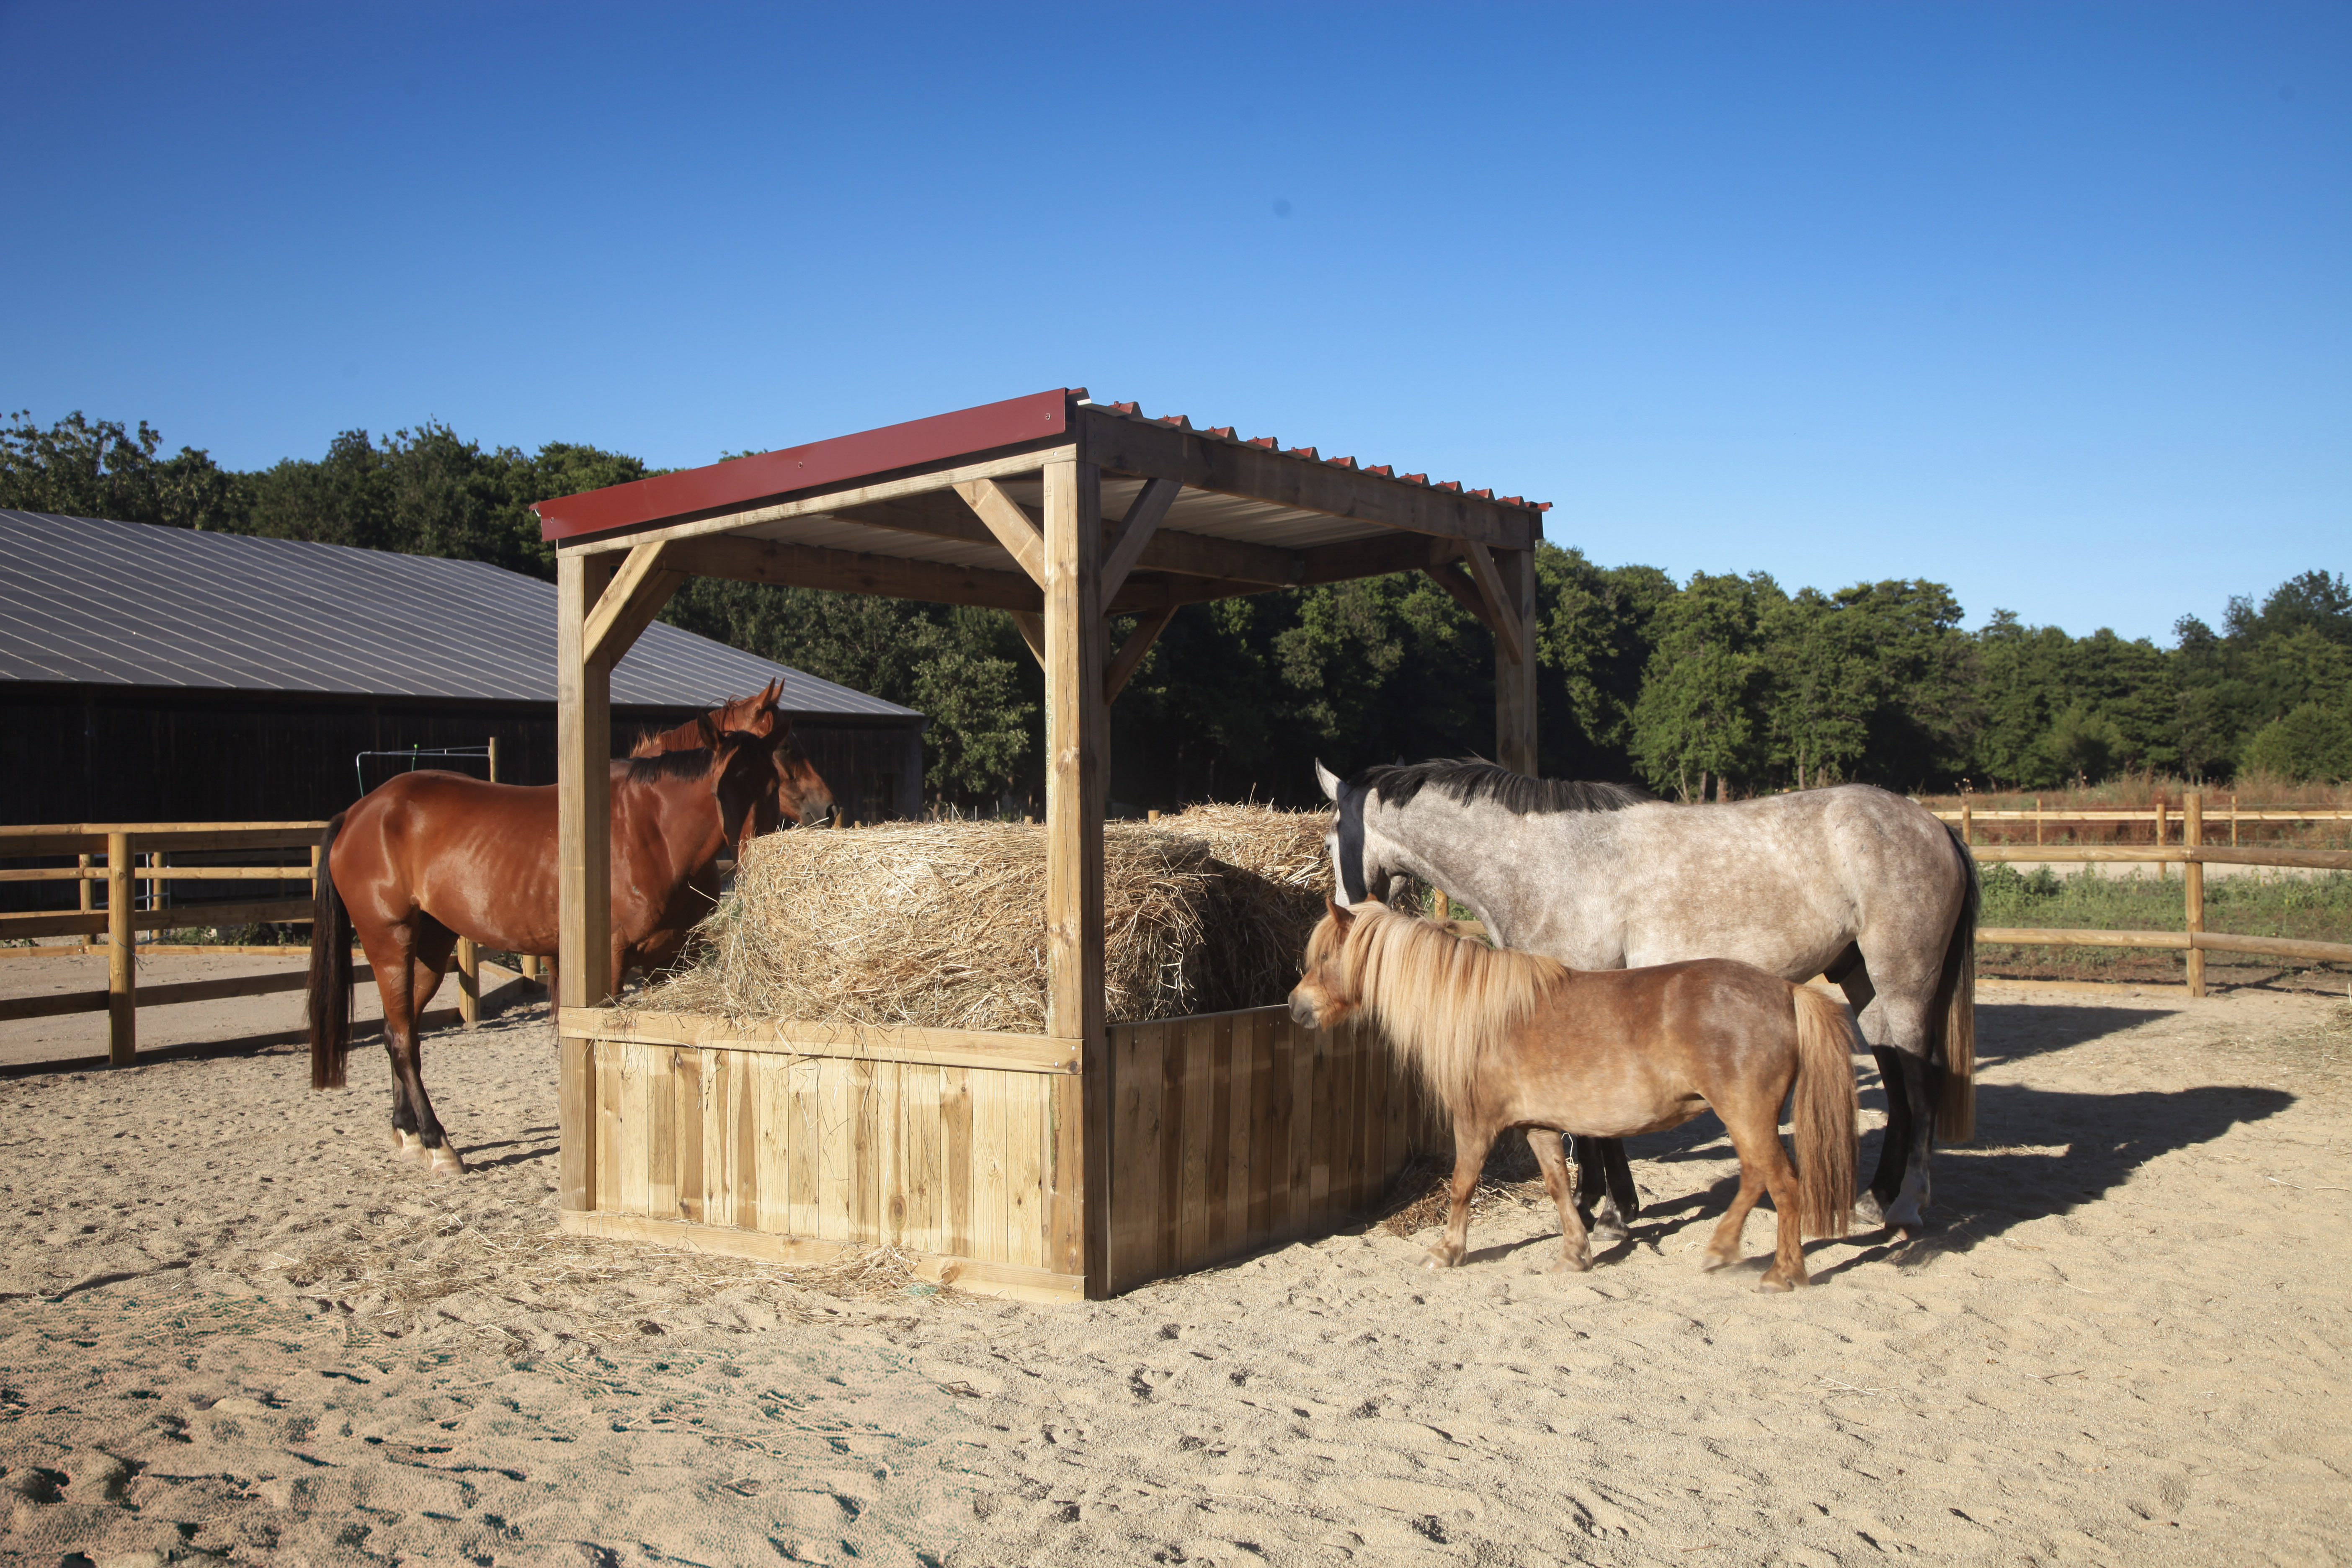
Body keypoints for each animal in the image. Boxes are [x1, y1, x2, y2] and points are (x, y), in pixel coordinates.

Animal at [307, 716, 803, 1176]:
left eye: (772, 783)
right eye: (724, 787)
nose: (752, 852)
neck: (650, 831)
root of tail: (359, 813)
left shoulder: (668, 962)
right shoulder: (609, 964)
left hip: (431, 946)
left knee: (397, 1031)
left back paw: (408, 1133)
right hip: (390, 944)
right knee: (405, 1040)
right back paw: (436, 1142)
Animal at [1288, 896, 1858, 1291]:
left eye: (1326, 957)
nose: (1295, 1007)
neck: (1479, 1014)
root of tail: (1787, 991)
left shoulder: (1475, 1123)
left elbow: (1462, 1187)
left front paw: (1448, 1251)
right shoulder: (1539, 1126)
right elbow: (1559, 1187)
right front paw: (1574, 1254)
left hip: (1747, 1115)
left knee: (1784, 1184)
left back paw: (1780, 1273)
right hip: (1745, 1120)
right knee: (1758, 1177)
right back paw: (1723, 1249)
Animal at [1316, 758, 1975, 1237]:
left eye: (1328, 840)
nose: (1344, 922)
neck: (1541, 861)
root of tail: (1935, 825)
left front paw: (1605, 1212)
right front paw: (1608, 1203)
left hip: (1904, 983)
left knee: (1920, 1087)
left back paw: (1906, 1205)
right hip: (1866, 985)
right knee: (1897, 1086)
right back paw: (1875, 1198)